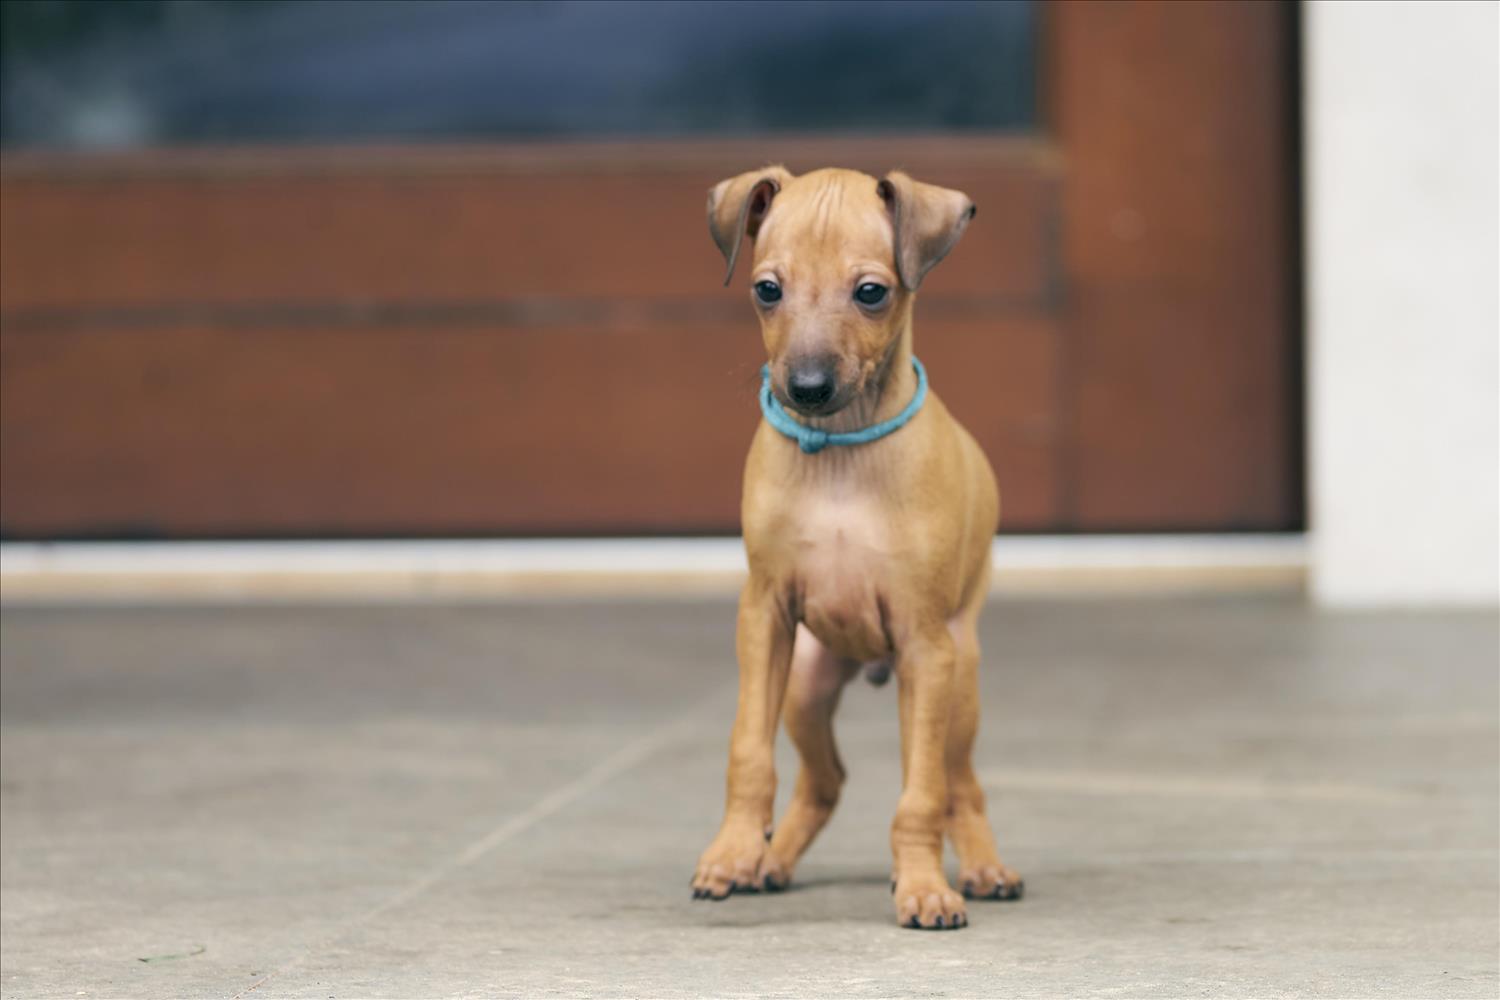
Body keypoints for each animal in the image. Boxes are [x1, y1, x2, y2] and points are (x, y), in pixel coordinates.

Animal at [689, 166, 1023, 930]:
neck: (840, 452)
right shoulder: (764, 617)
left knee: (959, 782)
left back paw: (982, 866)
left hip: (954, 684)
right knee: (826, 780)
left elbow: (921, 793)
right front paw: (730, 854)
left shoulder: (926, 646)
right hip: (805, 688)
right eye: (766, 289)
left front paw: (925, 885)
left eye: (871, 292)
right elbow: (747, 754)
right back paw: (770, 861)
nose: (807, 389)